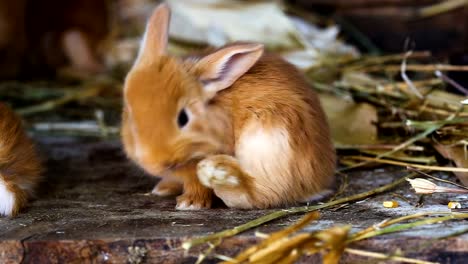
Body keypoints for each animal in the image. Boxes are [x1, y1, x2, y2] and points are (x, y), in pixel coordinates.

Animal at [121, 3, 336, 210]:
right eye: (130, 116)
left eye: (183, 118)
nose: (154, 163)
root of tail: (320, 178)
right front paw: (163, 188)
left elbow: (198, 186)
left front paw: (190, 203)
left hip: (270, 143)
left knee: (261, 194)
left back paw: (222, 174)